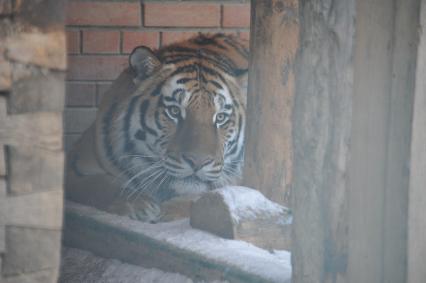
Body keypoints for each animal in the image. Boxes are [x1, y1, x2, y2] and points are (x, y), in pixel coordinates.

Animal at [65, 33, 248, 223]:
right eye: (174, 111)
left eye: (220, 117)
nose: (198, 162)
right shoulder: (74, 166)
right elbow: (102, 185)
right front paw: (139, 206)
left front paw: (168, 211)